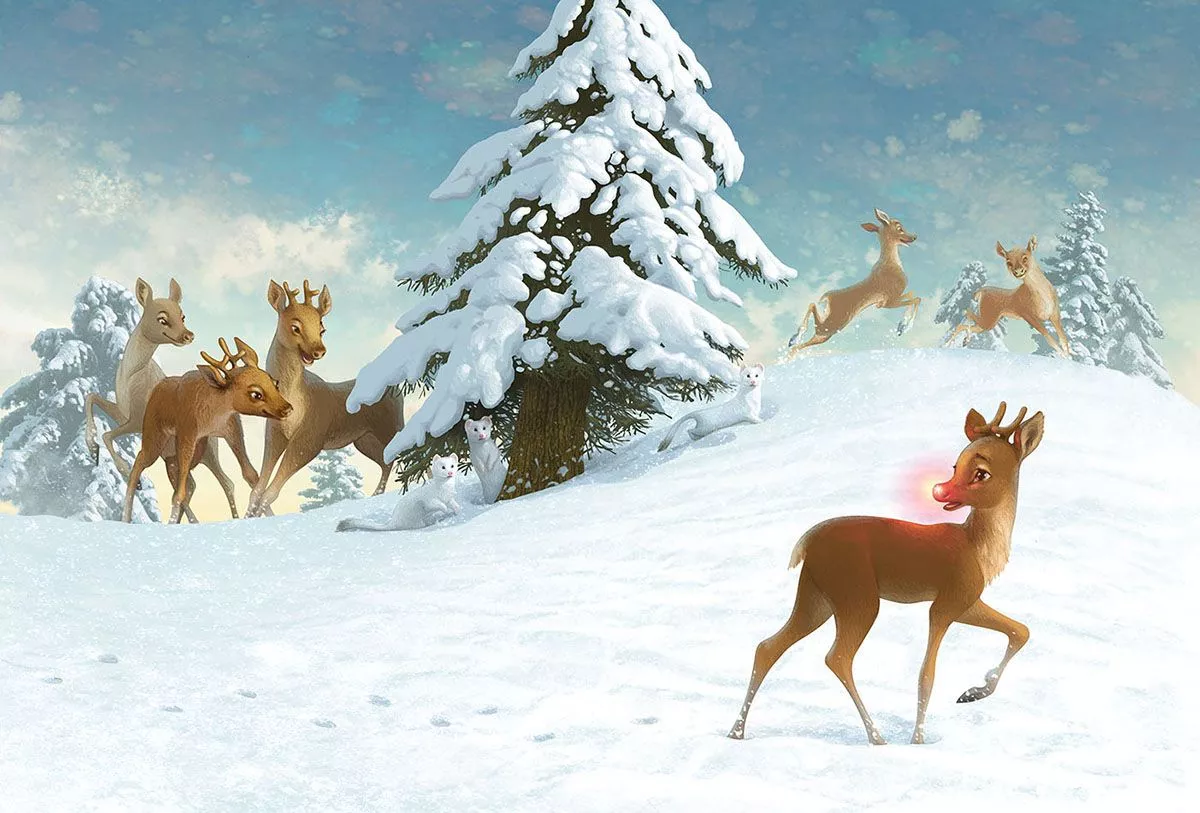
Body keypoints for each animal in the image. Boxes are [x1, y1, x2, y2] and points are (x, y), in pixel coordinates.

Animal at [85, 277, 242, 522]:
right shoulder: (123, 412)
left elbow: (108, 434)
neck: (131, 375)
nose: (188, 335)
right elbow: (91, 398)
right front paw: (92, 449)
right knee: (191, 485)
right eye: (162, 319)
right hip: (172, 456)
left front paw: (129, 475)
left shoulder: (137, 420)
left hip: (206, 450)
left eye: (183, 316)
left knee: (225, 482)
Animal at [123, 337, 292, 524]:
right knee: (140, 462)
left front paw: (268, 515)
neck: (213, 415)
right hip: (156, 438)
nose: (287, 408)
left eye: (275, 383)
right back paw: (126, 517)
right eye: (256, 394)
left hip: (195, 451)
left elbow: (251, 475)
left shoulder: (232, 430)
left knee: (193, 483)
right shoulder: (187, 433)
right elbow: (178, 494)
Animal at [244, 279, 404, 518]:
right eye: (295, 327)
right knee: (387, 461)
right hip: (365, 439)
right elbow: (257, 490)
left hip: (390, 426)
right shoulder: (274, 433)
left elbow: (270, 492)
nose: (318, 350)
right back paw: (377, 493)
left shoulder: (311, 437)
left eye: (322, 328)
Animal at [727, 401, 1044, 746]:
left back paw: (736, 731)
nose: (940, 490)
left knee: (768, 646)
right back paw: (876, 736)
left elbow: (1021, 630)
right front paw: (918, 740)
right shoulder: (945, 604)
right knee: (837, 657)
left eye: (981, 472)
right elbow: (926, 675)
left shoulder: (966, 602)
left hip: (816, 597)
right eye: (955, 464)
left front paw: (974, 692)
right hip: (856, 595)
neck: (977, 548)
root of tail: (806, 543)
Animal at [785, 208, 921, 359]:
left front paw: (901, 327)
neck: (891, 264)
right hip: (833, 324)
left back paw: (791, 345)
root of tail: (827, 298)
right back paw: (794, 340)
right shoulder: (887, 301)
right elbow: (916, 299)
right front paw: (904, 327)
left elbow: (913, 295)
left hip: (827, 331)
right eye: (899, 228)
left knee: (804, 337)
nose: (914, 237)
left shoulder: (890, 299)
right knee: (812, 310)